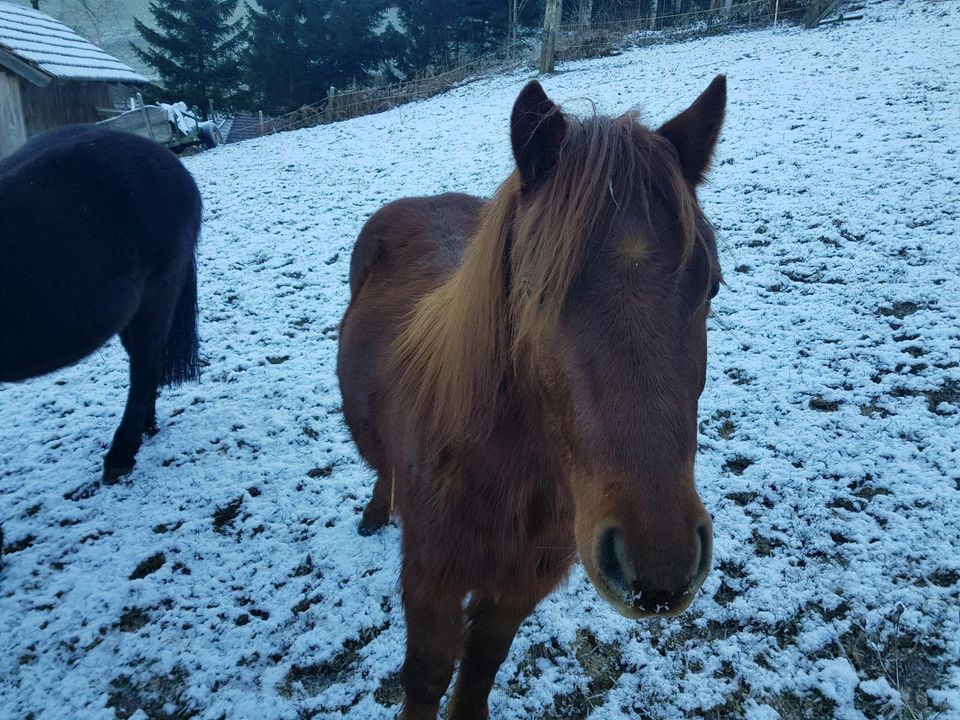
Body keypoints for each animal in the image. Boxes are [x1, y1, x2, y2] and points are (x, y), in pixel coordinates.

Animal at [342, 76, 724, 716]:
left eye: (712, 284)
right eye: (536, 290)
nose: (660, 563)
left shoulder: (523, 584)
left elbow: (481, 666)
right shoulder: (430, 581)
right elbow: (426, 677)